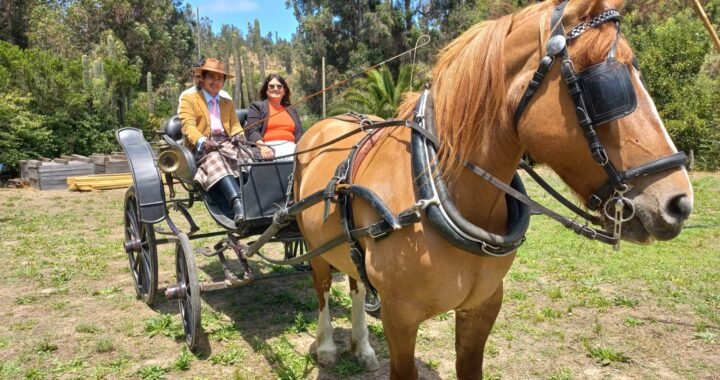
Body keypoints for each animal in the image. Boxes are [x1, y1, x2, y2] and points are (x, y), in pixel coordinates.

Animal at [292, 0, 692, 378]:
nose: (679, 203)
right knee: (322, 287)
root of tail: (330, 122)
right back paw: (326, 347)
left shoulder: (482, 306)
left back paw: (362, 347)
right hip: (314, 247)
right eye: (606, 88)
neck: (434, 190)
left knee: (357, 286)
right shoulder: (399, 315)